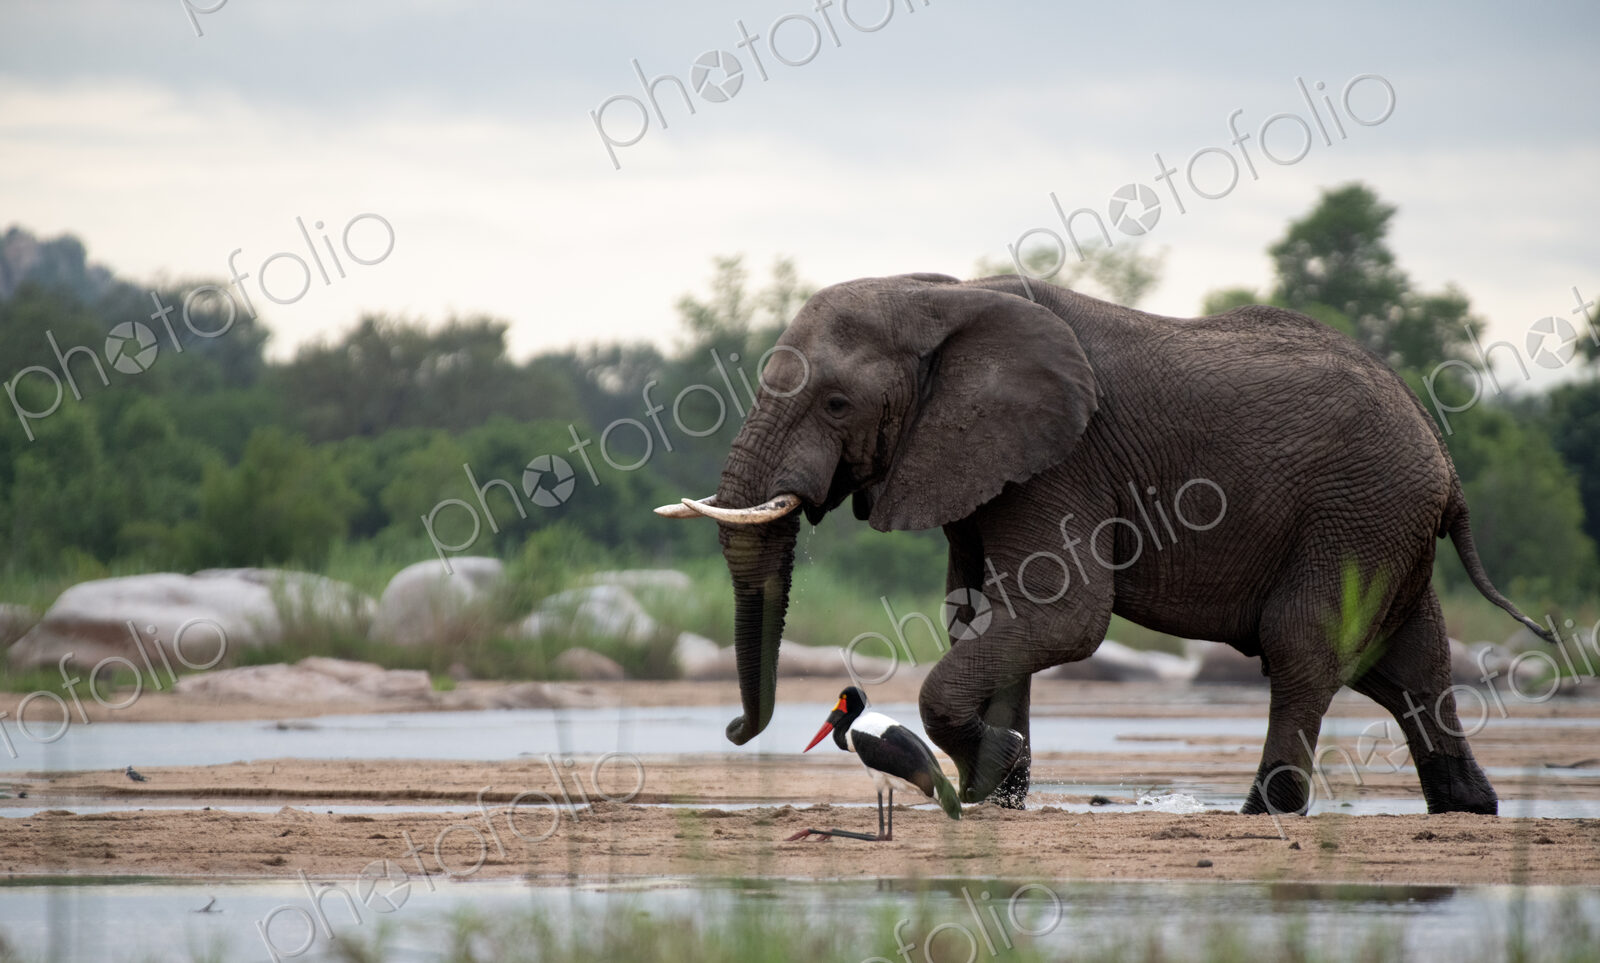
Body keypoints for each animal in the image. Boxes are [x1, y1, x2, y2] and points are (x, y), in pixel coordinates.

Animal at [657, 273, 1555, 816]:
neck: (943, 296)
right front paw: (998, 791)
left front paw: (995, 768)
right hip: (1387, 524)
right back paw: (1468, 807)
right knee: (1411, 665)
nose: (733, 731)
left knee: (1303, 648)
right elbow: (981, 614)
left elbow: (1064, 616)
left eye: (837, 403)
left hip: (1355, 515)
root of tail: (1446, 461)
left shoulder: (1061, 461)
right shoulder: (982, 468)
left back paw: (1264, 809)